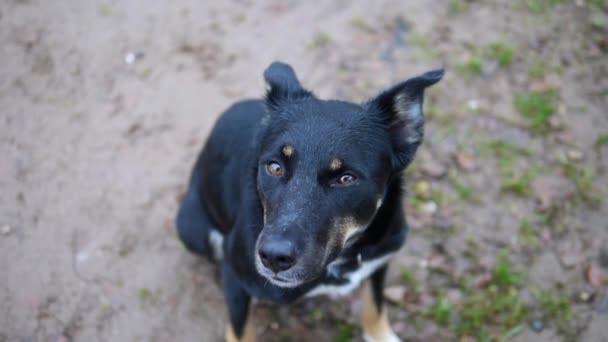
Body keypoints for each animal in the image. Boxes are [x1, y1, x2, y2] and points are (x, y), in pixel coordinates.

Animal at [176, 62, 442, 342]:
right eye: (275, 167)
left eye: (346, 178)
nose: (273, 257)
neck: (343, 256)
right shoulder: (236, 274)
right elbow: (241, 330)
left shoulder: (378, 261)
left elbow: (374, 305)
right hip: (191, 229)